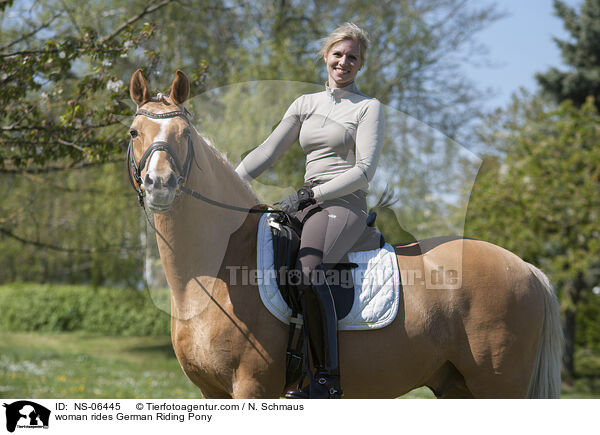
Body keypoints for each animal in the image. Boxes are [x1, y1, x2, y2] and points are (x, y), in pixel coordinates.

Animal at [126, 70, 564, 400]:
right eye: (134, 132)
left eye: (185, 134)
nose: (160, 184)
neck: (214, 272)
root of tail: (527, 268)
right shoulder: (211, 392)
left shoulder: (252, 386)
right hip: (458, 387)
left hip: (499, 385)